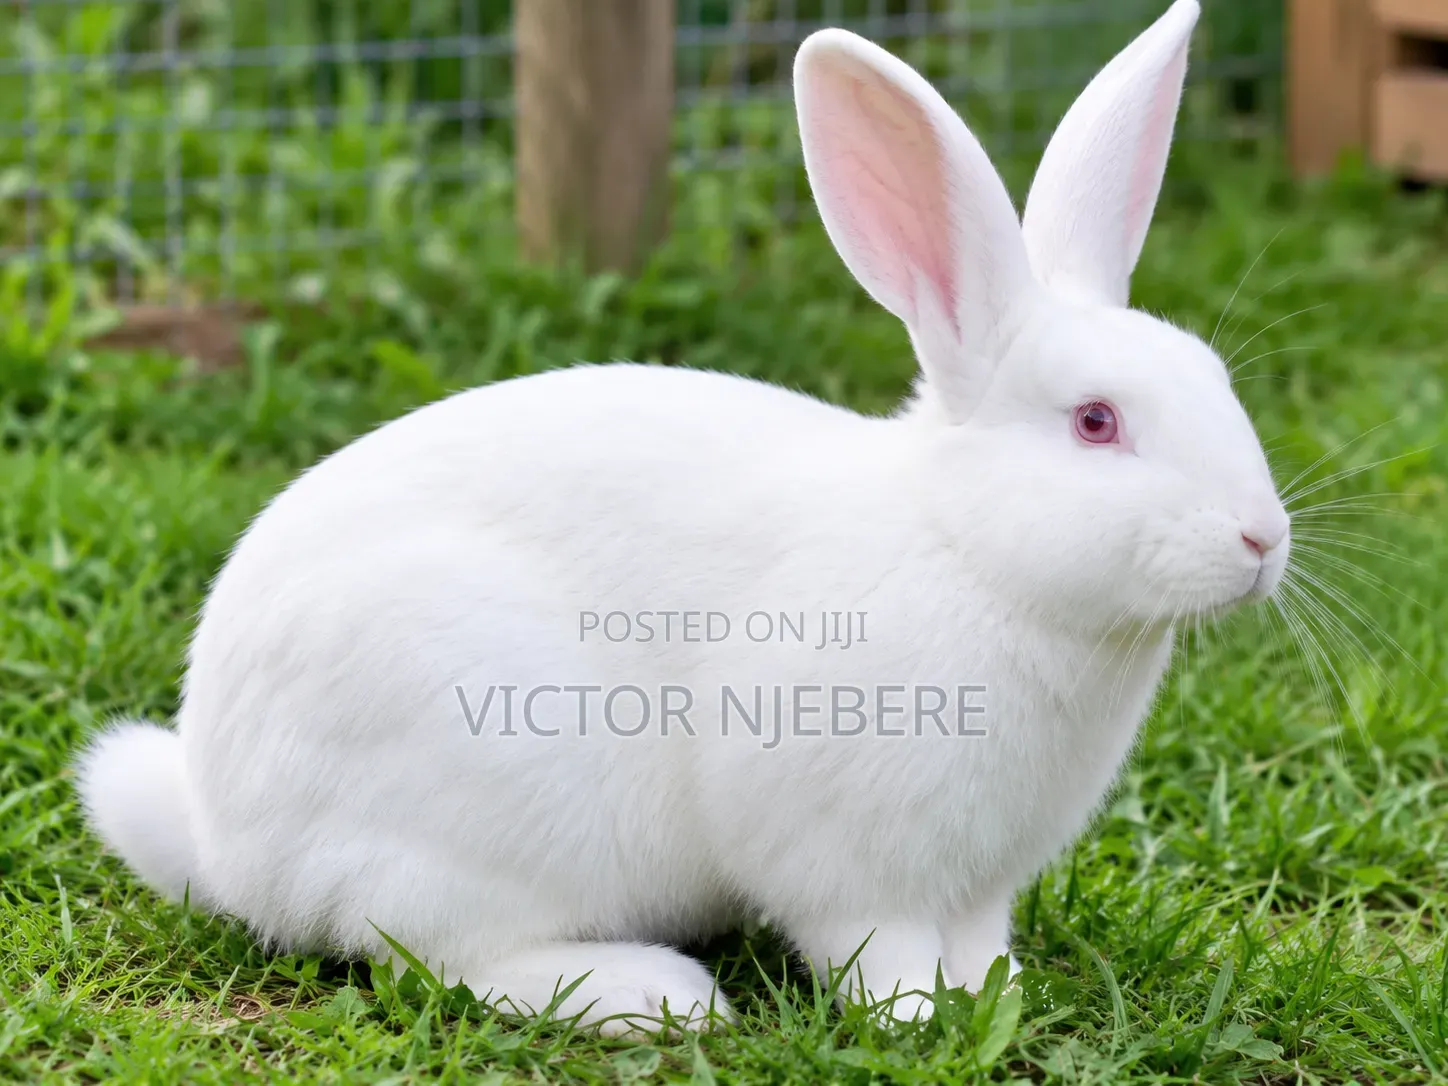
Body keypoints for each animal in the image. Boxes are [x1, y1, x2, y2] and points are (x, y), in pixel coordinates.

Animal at [76, 0, 1288, 1036]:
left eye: (1215, 377)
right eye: (1095, 423)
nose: (1262, 541)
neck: (969, 554)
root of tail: (226, 841)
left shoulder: (983, 878)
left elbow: (980, 943)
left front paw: (995, 998)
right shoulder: (842, 854)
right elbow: (875, 951)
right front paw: (918, 1018)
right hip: (483, 805)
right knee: (435, 957)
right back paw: (657, 996)